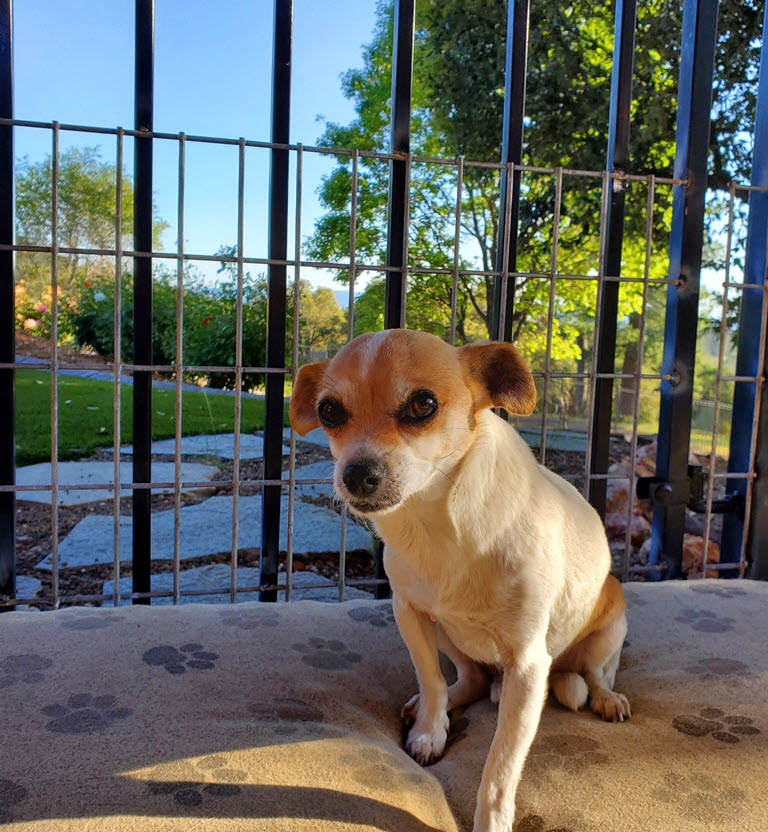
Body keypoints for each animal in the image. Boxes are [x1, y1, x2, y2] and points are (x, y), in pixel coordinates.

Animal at [288, 328, 632, 828]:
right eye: (329, 411)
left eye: (423, 404)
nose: (356, 474)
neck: (437, 525)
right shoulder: (410, 614)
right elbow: (429, 677)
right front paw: (430, 731)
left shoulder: (529, 666)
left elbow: (501, 765)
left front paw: (493, 820)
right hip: (448, 633)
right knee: (468, 679)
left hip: (610, 627)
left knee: (597, 673)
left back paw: (607, 698)